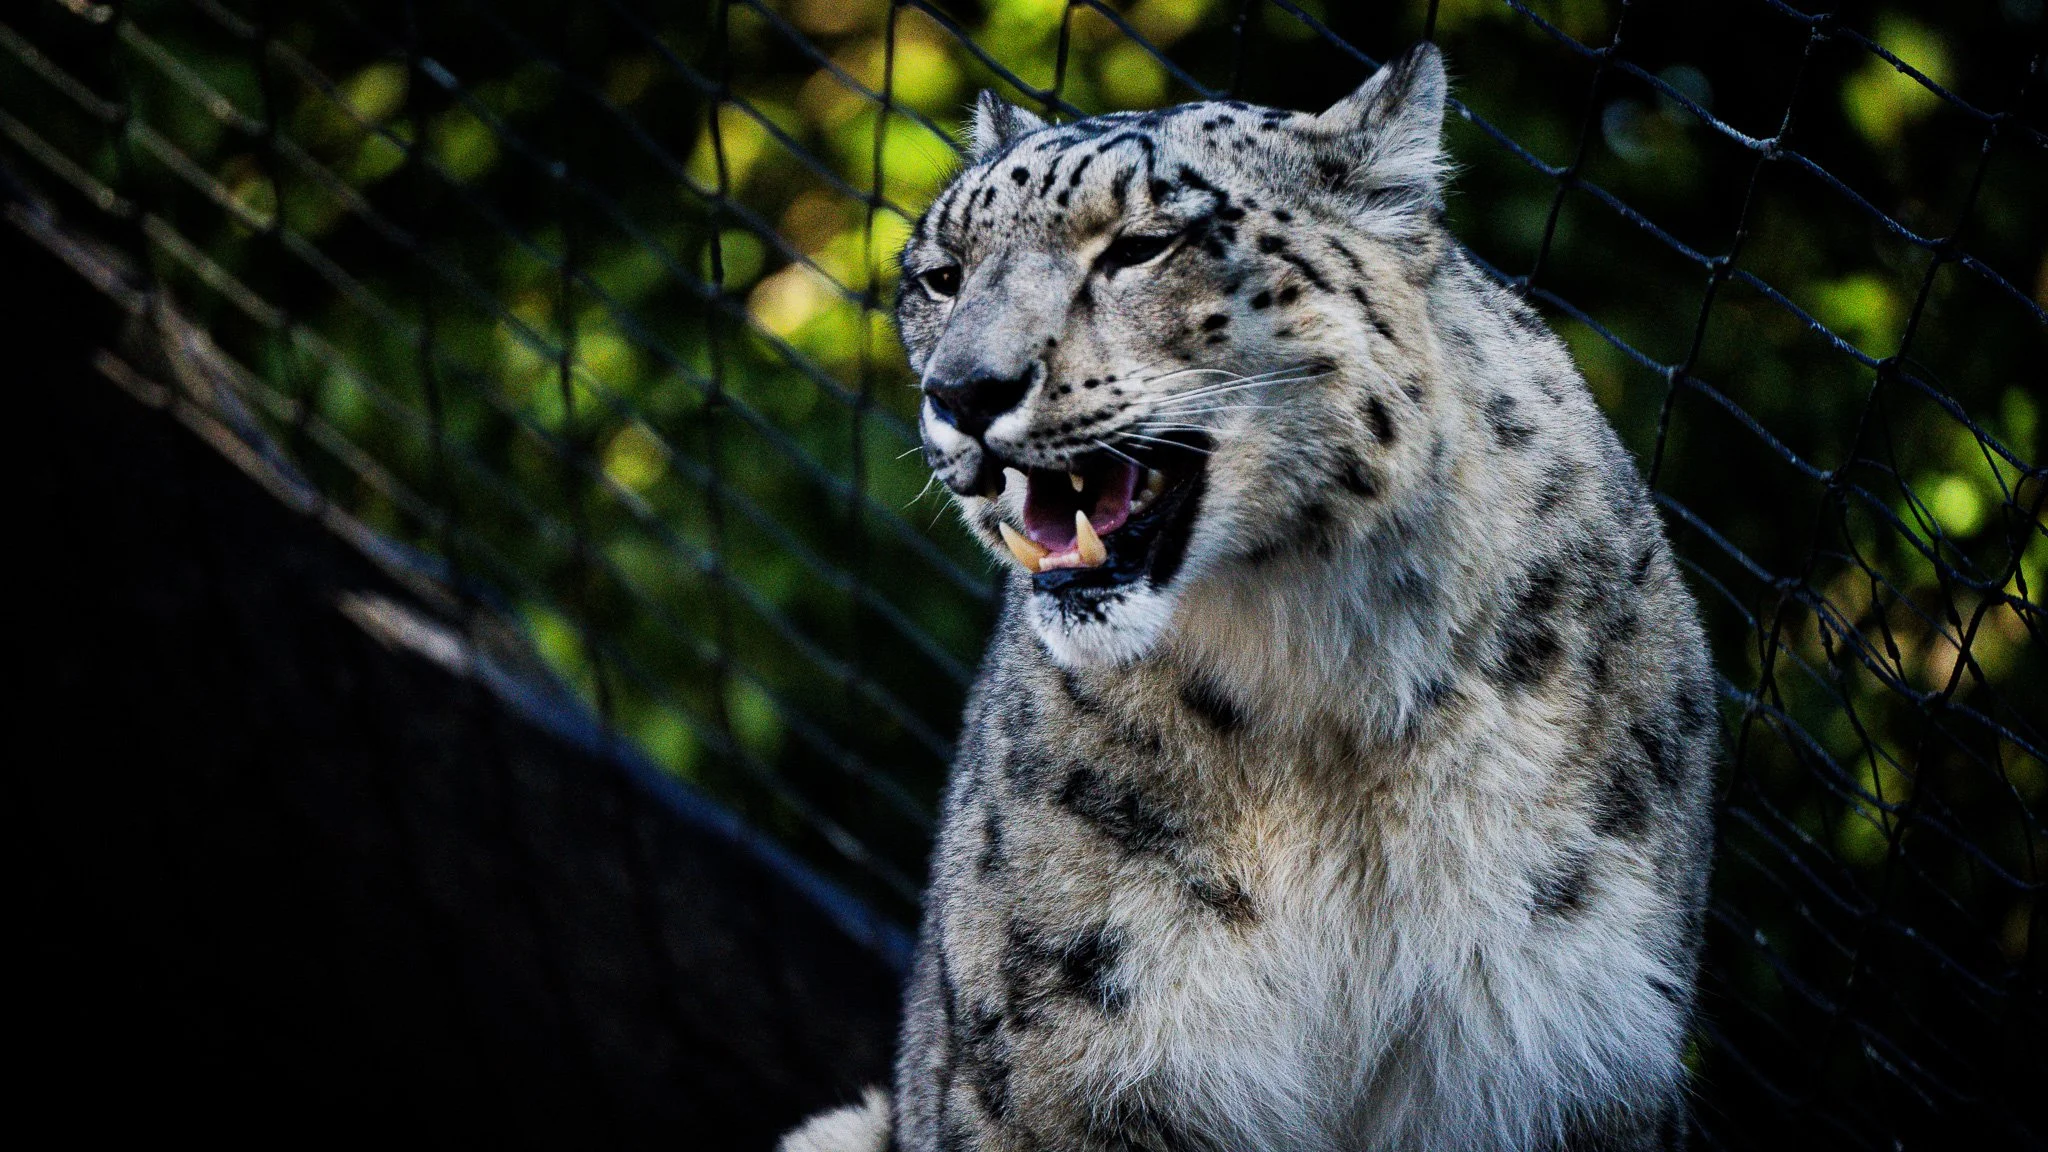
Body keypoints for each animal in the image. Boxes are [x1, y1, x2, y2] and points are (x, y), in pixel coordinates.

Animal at [781, 43, 1718, 1152]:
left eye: (1140, 247)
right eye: (941, 275)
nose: (963, 391)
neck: (1326, 708)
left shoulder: (1568, 1046)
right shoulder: (1066, 1067)